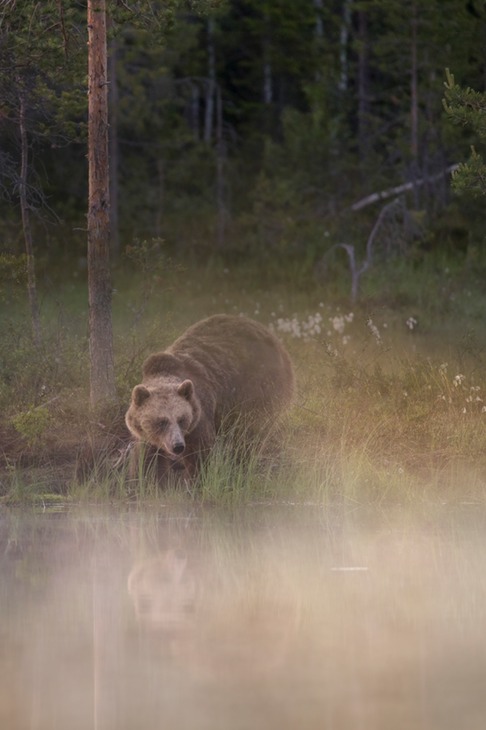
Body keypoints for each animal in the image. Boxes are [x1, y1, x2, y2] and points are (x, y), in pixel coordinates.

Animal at [123, 312, 294, 478]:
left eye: (182, 419)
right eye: (161, 421)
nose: (178, 446)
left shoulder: (198, 417)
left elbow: (201, 455)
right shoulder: (147, 435)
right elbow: (146, 462)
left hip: (259, 386)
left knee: (249, 431)